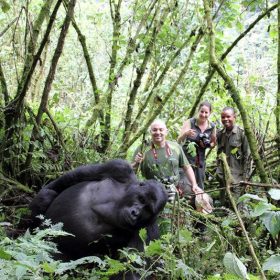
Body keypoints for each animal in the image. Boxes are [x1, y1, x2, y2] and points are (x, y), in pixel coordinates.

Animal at [29, 159, 167, 262]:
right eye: (142, 199)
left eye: (148, 209)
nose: (135, 213)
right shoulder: (120, 168)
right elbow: (69, 179)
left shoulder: (150, 234)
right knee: (48, 195)